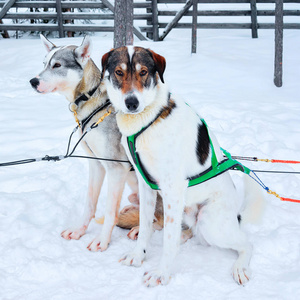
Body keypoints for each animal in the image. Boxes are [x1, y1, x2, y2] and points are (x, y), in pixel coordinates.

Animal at [102, 47, 264, 288]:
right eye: (119, 72)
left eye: (143, 72)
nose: (131, 102)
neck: (148, 120)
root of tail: (236, 216)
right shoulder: (146, 185)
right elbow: (146, 226)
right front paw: (138, 255)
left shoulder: (173, 189)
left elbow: (168, 242)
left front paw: (161, 273)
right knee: (189, 232)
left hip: (209, 221)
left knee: (247, 244)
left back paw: (240, 268)